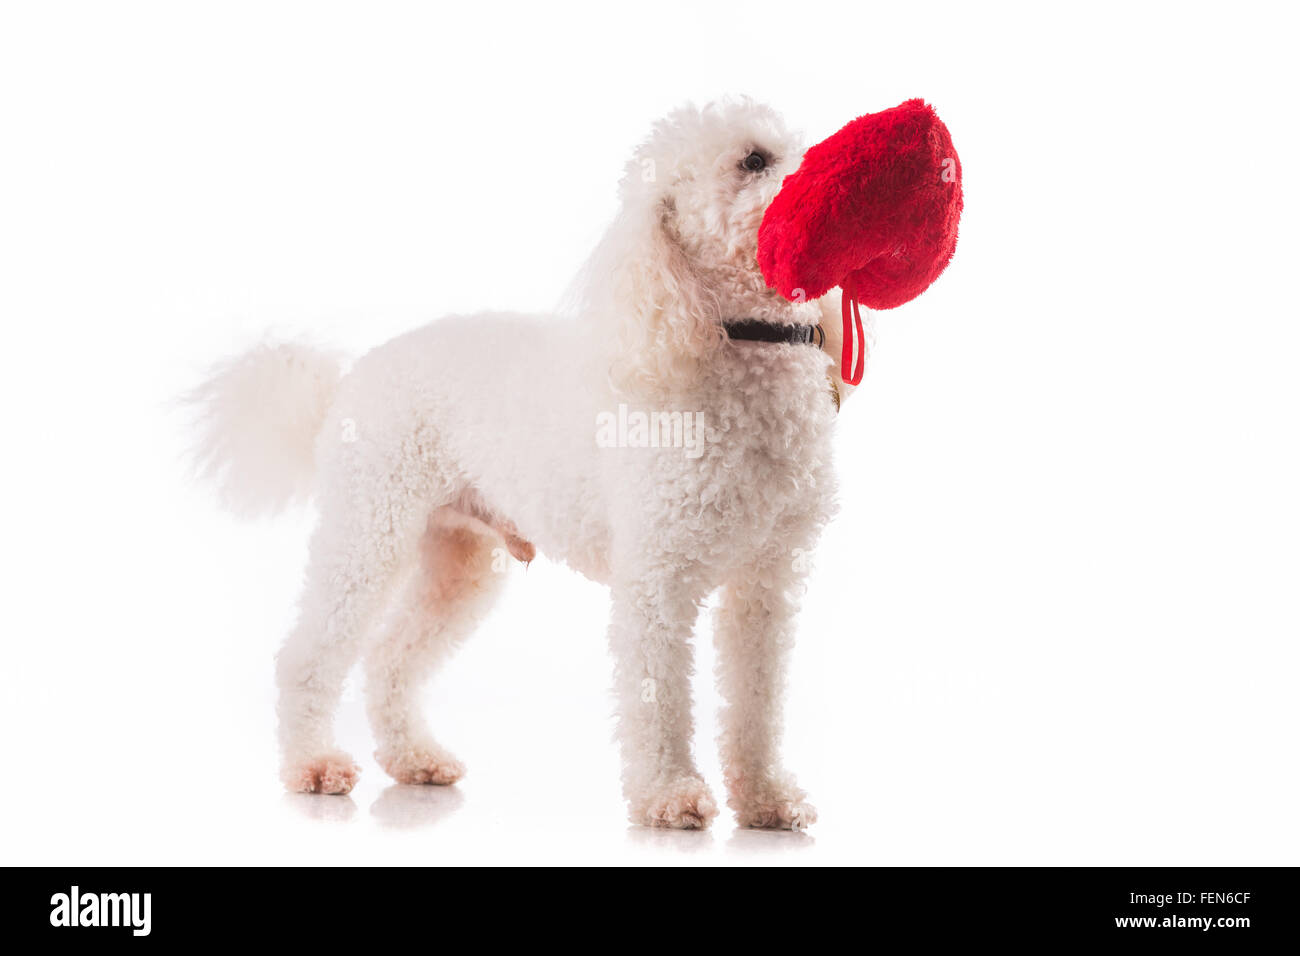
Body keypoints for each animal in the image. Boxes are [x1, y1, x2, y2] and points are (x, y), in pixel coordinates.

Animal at [195, 98, 863, 832]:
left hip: (457, 561)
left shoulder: (767, 582)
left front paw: (767, 797)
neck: (729, 337)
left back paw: (415, 759)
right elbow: (658, 695)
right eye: (753, 160)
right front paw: (669, 794)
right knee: (307, 655)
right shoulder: (658, 578)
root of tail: (347, 381)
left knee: (390, 658)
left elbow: (757, 700)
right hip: (370, 526)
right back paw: (312, 764)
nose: (840, 177)